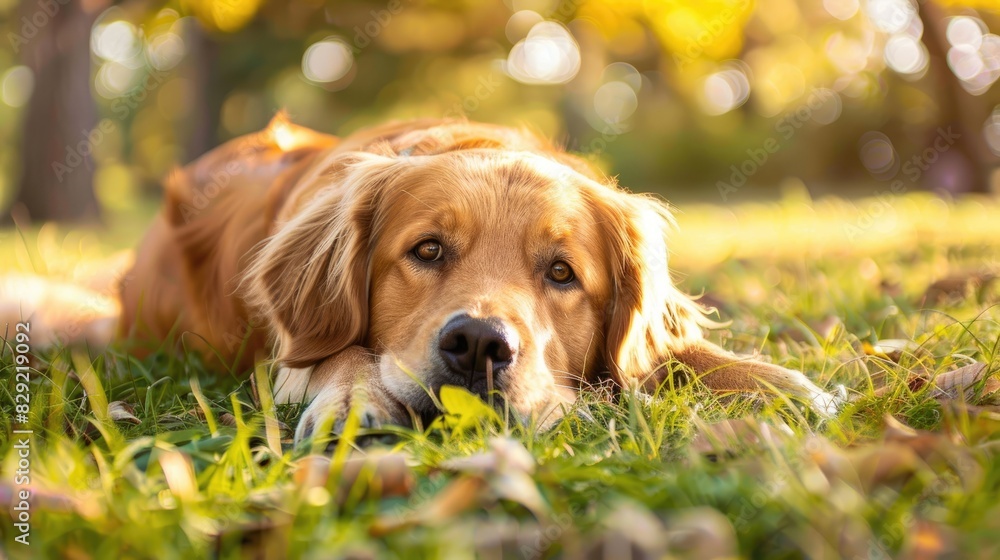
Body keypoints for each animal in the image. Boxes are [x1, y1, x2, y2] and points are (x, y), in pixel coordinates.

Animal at [47, 114, 840, 440]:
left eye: (562, 273)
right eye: (427, 251)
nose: (480, 345)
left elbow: (673, 354)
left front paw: (784, 387)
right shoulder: (297, 352)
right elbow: (341, 354)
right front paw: (354, 402)